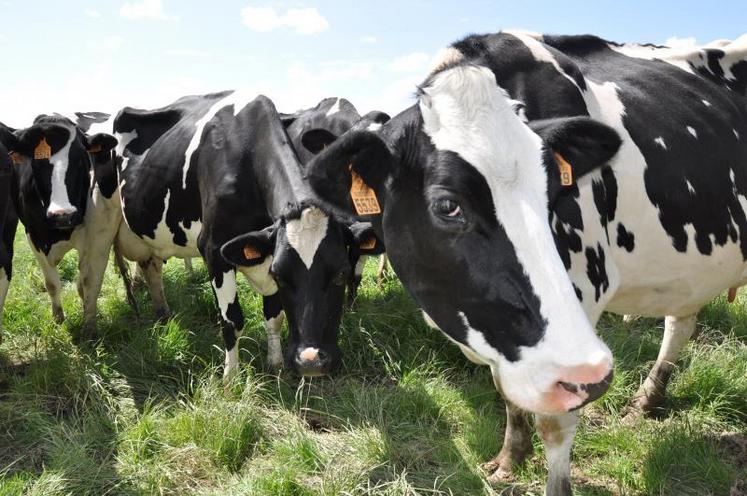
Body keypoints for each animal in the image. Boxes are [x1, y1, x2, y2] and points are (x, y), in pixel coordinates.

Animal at [0, 116, 119, 339]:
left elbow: (85, 283)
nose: (62, 214)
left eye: (81, 158)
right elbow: (52, 284)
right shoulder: (34, 236)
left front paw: (88, 314)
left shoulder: (88, 236)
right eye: (37, 161)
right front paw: (58, 318)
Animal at [109, 91, 377, 379]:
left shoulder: (268, 250)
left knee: (151, 266)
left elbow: (274, 317)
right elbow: (232, 321)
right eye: (282, 276)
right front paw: (230, 378)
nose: (311, 362)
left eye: (341, 274)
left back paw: (163, 314)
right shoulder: (214, 250)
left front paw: (275, 364)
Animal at [304, 31, 747, 494]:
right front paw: (510, 457)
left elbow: (555, 424)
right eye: (447, 206)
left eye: (554, 192)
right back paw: (646, 400)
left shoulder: (580, 307)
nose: (597, 371)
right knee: (681, 322)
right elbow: (507, 392)